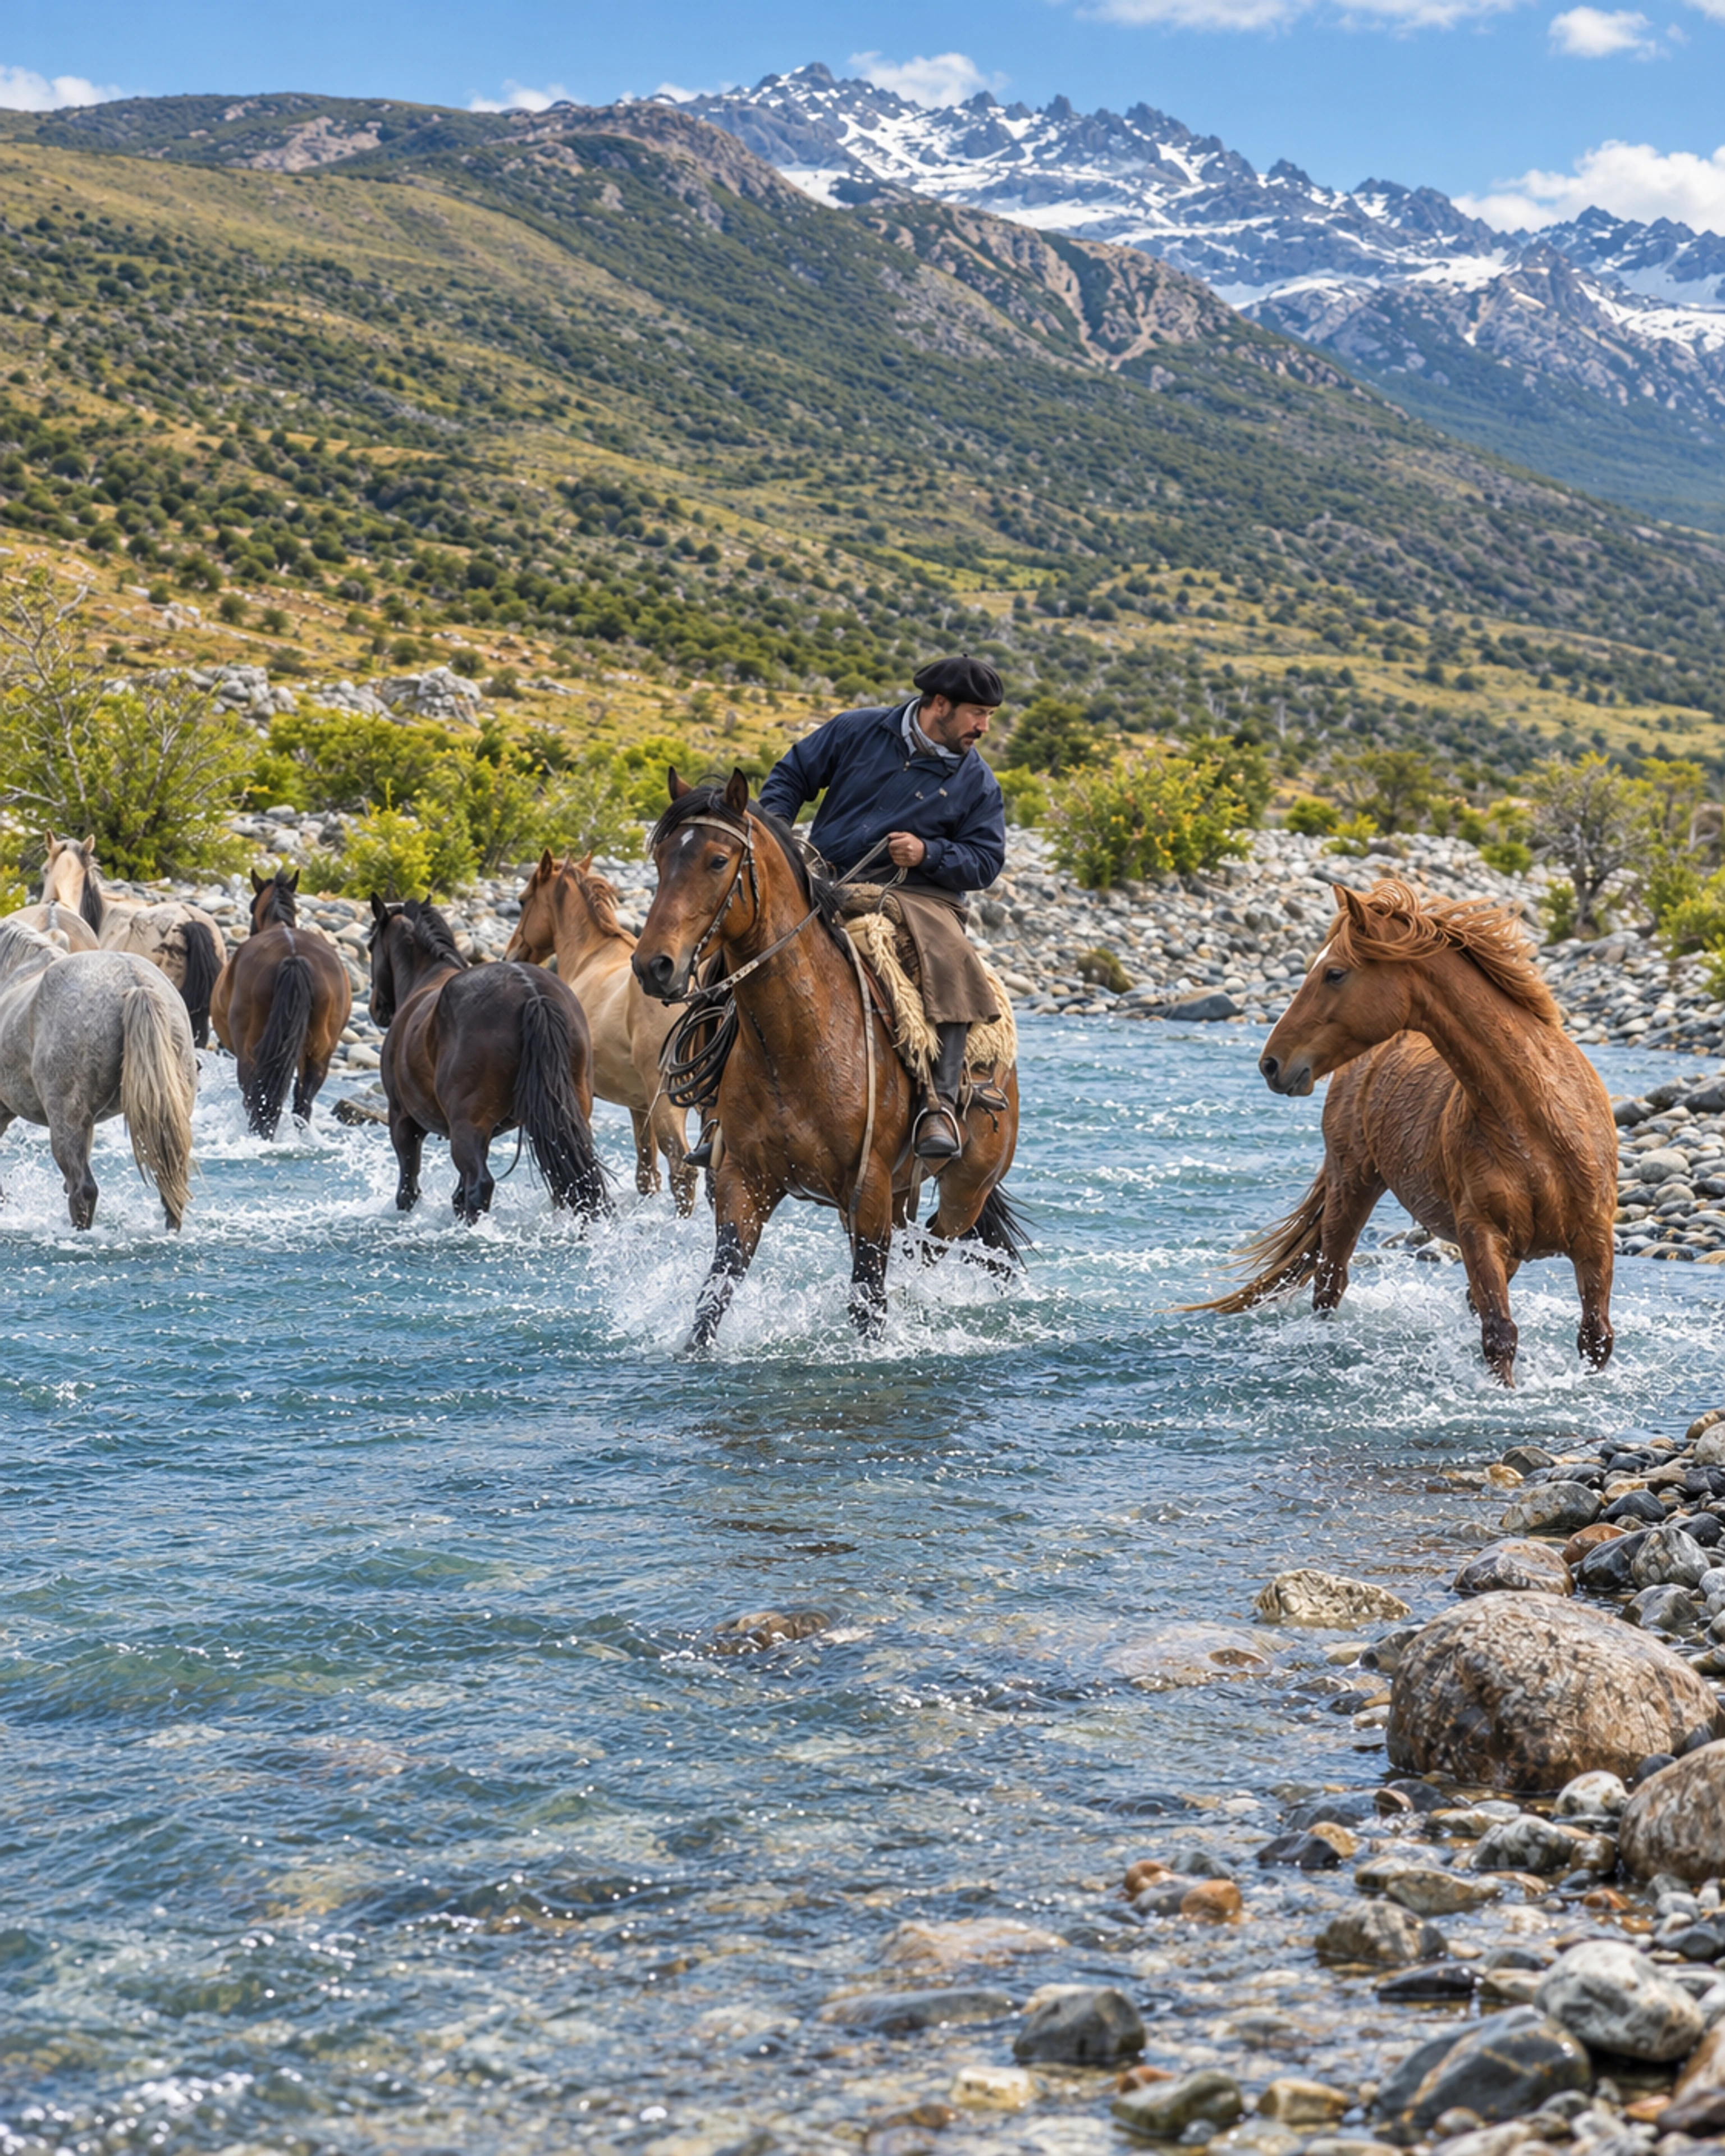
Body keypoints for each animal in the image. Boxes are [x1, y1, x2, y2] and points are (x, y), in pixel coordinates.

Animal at [369, 896, 608, 1225]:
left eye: (370, 946)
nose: (375, 1009)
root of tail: (531, 992)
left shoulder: (404, 1122)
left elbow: (409, 1189)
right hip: (568, 1119)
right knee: (574, 1181)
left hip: (465, 1128)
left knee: (480, 1185)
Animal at [505, 850, 694, 1214]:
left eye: (522, 901)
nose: (511, 955)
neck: (589, 956)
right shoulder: (639, 1105)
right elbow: (646, 1175)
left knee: (683, 1168)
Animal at [632, 770, 1022, 1352]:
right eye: (660, 859)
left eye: (718, 861)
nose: (652, 966)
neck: (796, 1046)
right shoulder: (742, 1183)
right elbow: (713, 1298)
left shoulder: (868, 1191)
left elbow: (868, 1303)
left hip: (965, 1190)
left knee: (931, 1245)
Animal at [1201, 879, 1617, 1386]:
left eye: (1334, 973)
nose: (1271, 1064)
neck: (1539, 1130)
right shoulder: (1479, 1233)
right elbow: (1499, 1334)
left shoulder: (1594, 1238)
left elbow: (1593, 1337)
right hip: (1351, 1187)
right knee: (1329, 1283)